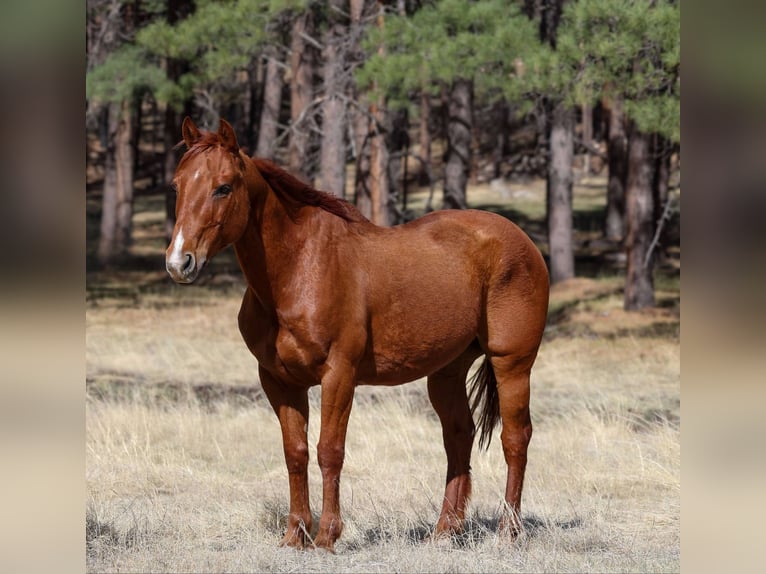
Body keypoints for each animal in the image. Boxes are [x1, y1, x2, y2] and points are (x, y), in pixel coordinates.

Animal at [166, 117, 549, 552]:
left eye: (224, 187)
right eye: (177, 186)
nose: (179, 262)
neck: (300, 269)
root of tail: (521, 239)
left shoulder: (339, 374)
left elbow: (329, 451)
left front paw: (327, 535)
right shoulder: (278, 381)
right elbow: (295, 452)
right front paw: (295, 535)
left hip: (512, 364)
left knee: (515, 438)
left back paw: (509, 532)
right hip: (446, 371)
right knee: (458, 436)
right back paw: (444, 531)